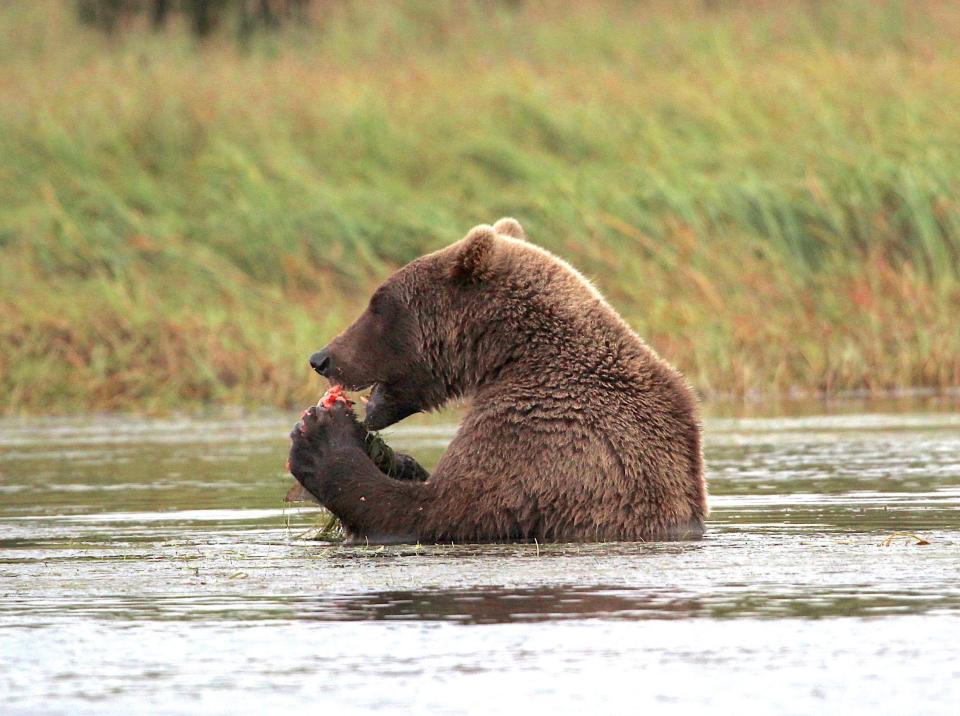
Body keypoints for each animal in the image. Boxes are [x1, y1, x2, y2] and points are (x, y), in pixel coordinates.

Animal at [284, 218, 704, 544]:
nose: (321, 358)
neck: (511, 354)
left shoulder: (543, 434)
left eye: (377, 305)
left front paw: (321, 437)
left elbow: (440, 512)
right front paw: (395, 459)